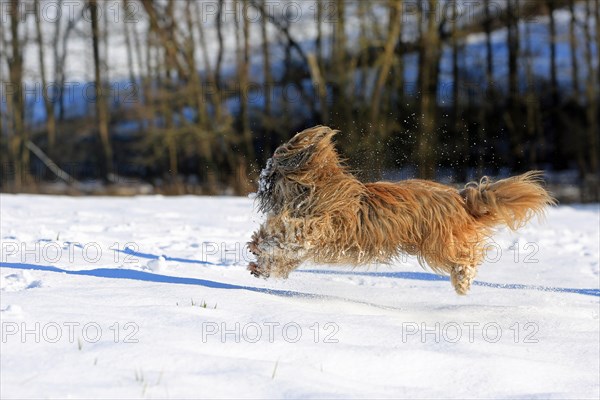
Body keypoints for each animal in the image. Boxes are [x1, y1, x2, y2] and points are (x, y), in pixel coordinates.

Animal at [246, 126, 556, 296]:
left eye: (272, 168)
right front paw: (260, 261)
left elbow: (285, 234)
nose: (261, 179)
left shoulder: (314, 228)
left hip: (439, 242)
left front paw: (260, 244)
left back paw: (463, 279)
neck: (313, 188)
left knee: (466, 257)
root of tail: (460, 198)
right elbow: (282, 253)